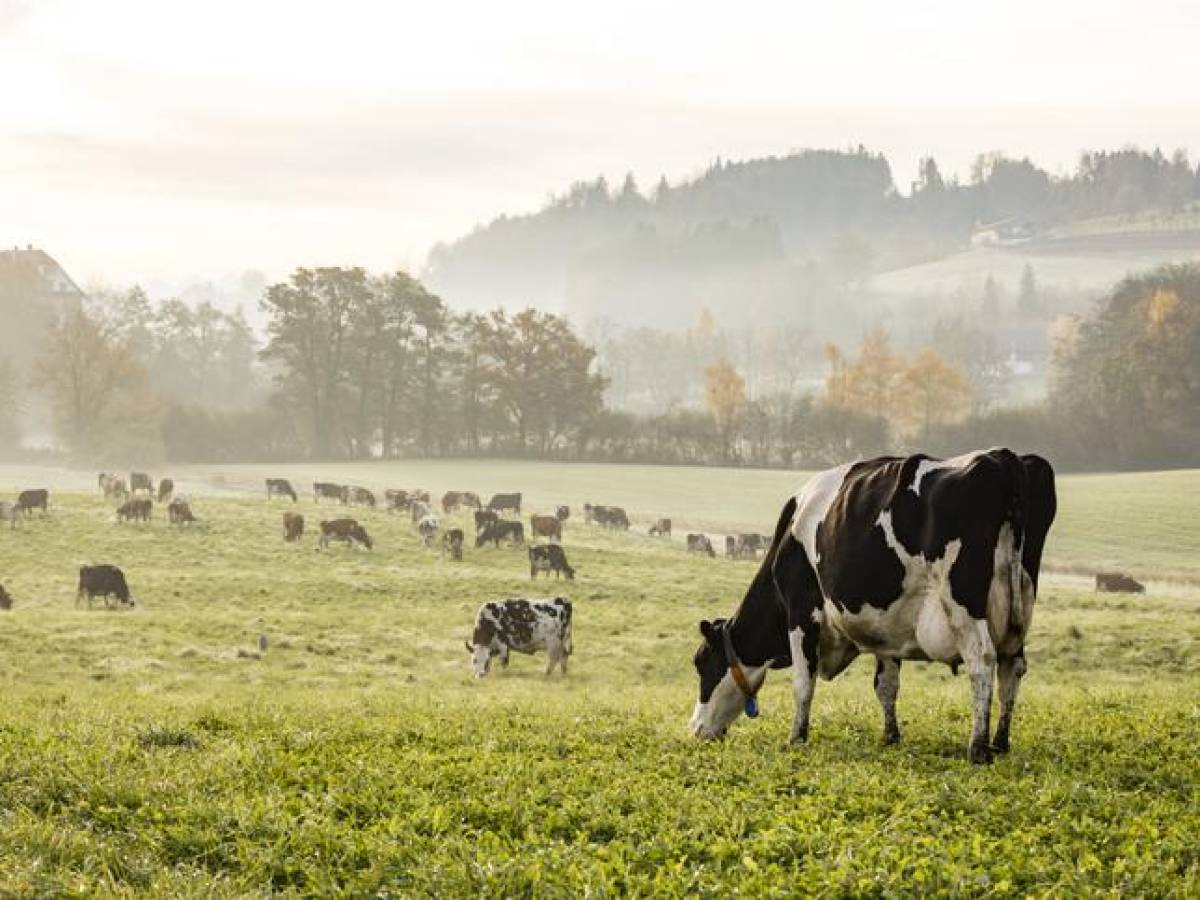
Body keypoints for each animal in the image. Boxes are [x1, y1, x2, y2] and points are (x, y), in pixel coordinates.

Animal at [691, 451, 1056, 768]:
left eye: (701, 663)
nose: (695, 728)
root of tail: (1002, 457)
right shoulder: (886, 629)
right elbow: (886, 685)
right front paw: (891, 736)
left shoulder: (801, 612)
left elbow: (803, 682)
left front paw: (796, 738)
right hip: (1019, 607)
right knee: (1012, 667)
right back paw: (1000, 742)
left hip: (962, 603)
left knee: (982, 661)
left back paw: (978, 748)